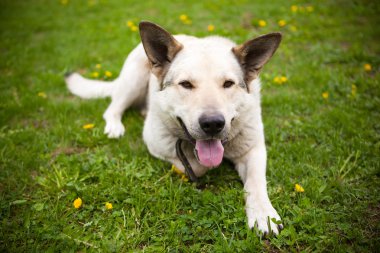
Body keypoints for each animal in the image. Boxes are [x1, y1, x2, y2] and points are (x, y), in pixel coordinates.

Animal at [65, 20, 284, 236]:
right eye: (186, 84)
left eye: (228, 83)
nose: (213, 123)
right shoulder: (157, 144)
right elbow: (197, 166)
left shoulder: (254, 149)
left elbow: (256, 182)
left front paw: (263, 213)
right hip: (133, 81)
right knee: (112, 108)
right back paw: (115, 126)